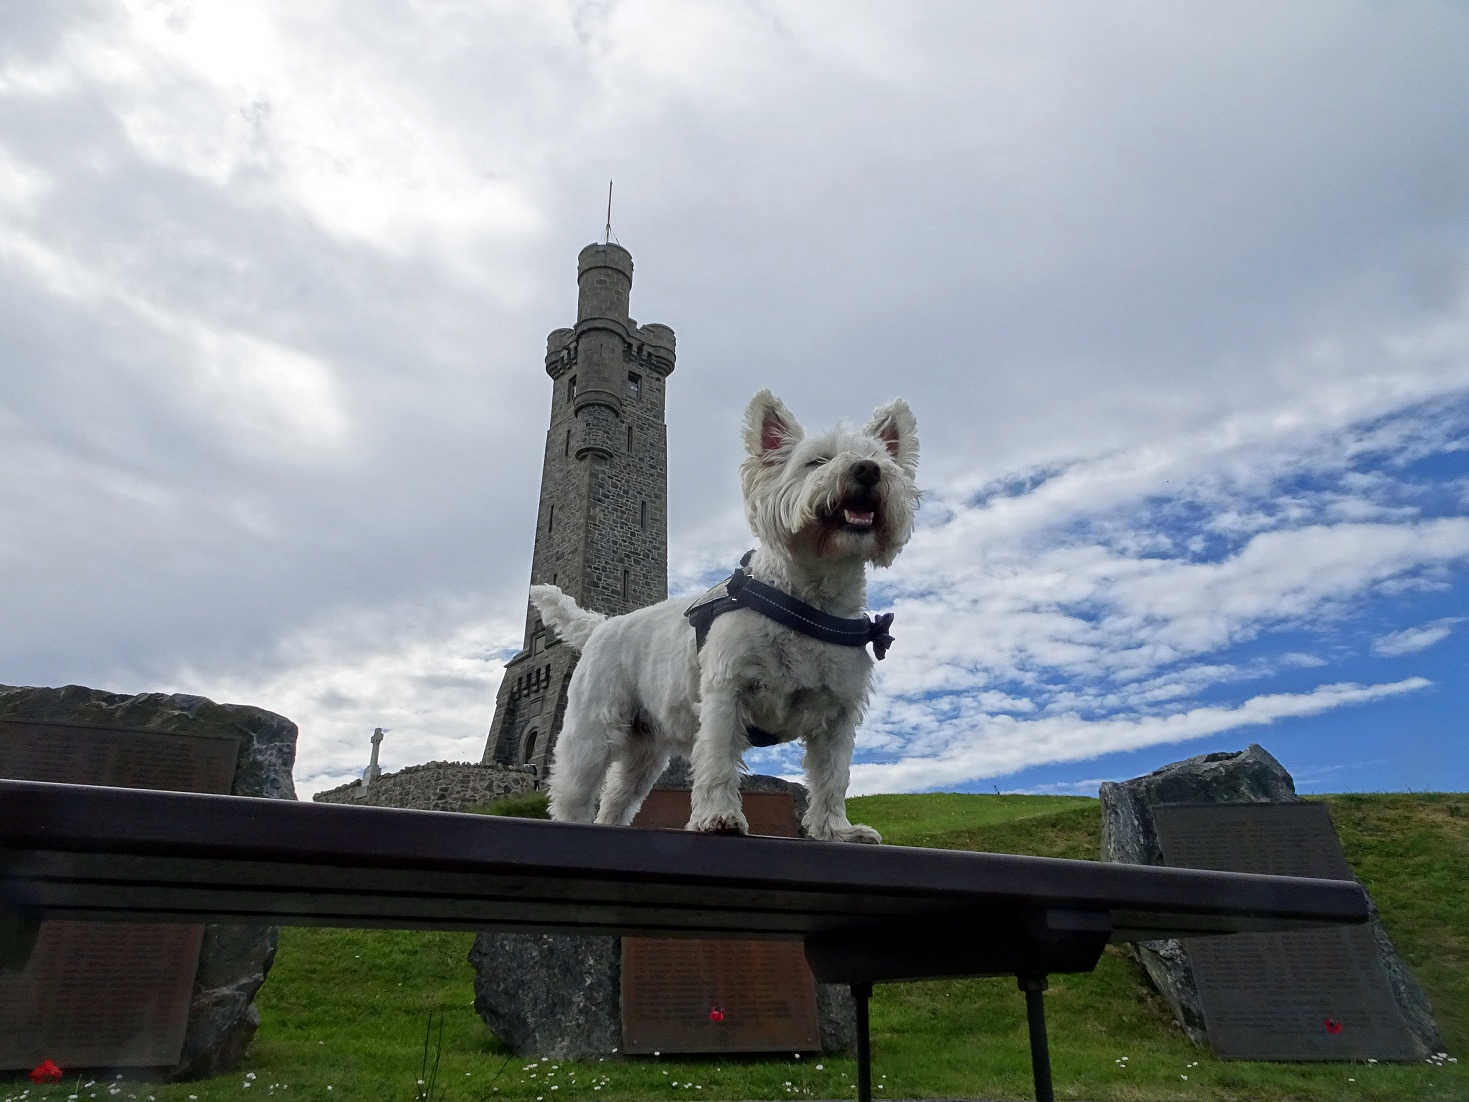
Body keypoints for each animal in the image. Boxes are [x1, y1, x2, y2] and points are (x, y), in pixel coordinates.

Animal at [528, 390, 916, 846]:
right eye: (816, 461)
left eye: (879, 459)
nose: (868, 470)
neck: (810, 601)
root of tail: (601, 625)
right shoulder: (726, 693)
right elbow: (717, 760)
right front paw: (718, 817)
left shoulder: (837, 713)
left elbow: (832, 777)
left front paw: (836, 830)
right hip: (593, 729)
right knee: (574, 791)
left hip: (645, 749)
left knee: (617, 798)